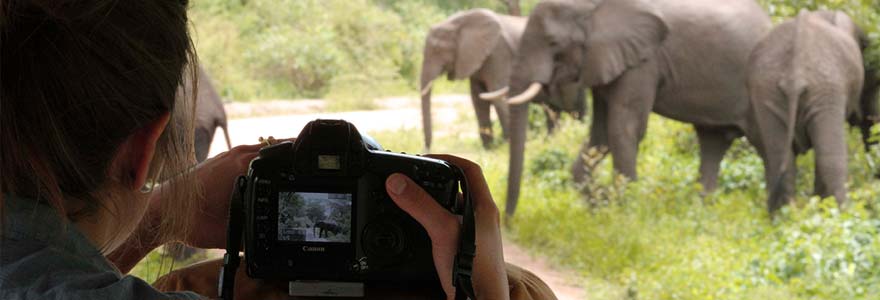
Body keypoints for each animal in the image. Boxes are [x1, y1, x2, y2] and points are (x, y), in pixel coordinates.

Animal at [418, 8, 584, 149]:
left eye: (437, 50)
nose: (427, 149)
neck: (460, 20)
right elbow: (478, 100)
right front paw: (489, 149)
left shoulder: (498, 53)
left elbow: (497, 95)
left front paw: (505, 145)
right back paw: (550, 141)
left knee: (572, 105)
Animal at [498, 0, 772, 216]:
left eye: (553, 42)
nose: (508, 218)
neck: (591, 6)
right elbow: (601, 136)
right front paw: (599, 207)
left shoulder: (644, 60)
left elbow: (624, 129)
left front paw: (623, 215)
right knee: (712, 143)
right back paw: (701, 213)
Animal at [744, 9, 880, 213]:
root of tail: (794, 72)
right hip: (826, 87)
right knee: (831, 159)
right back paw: (838, 213)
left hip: (766, 89)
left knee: (779, 160)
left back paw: (784, 216)